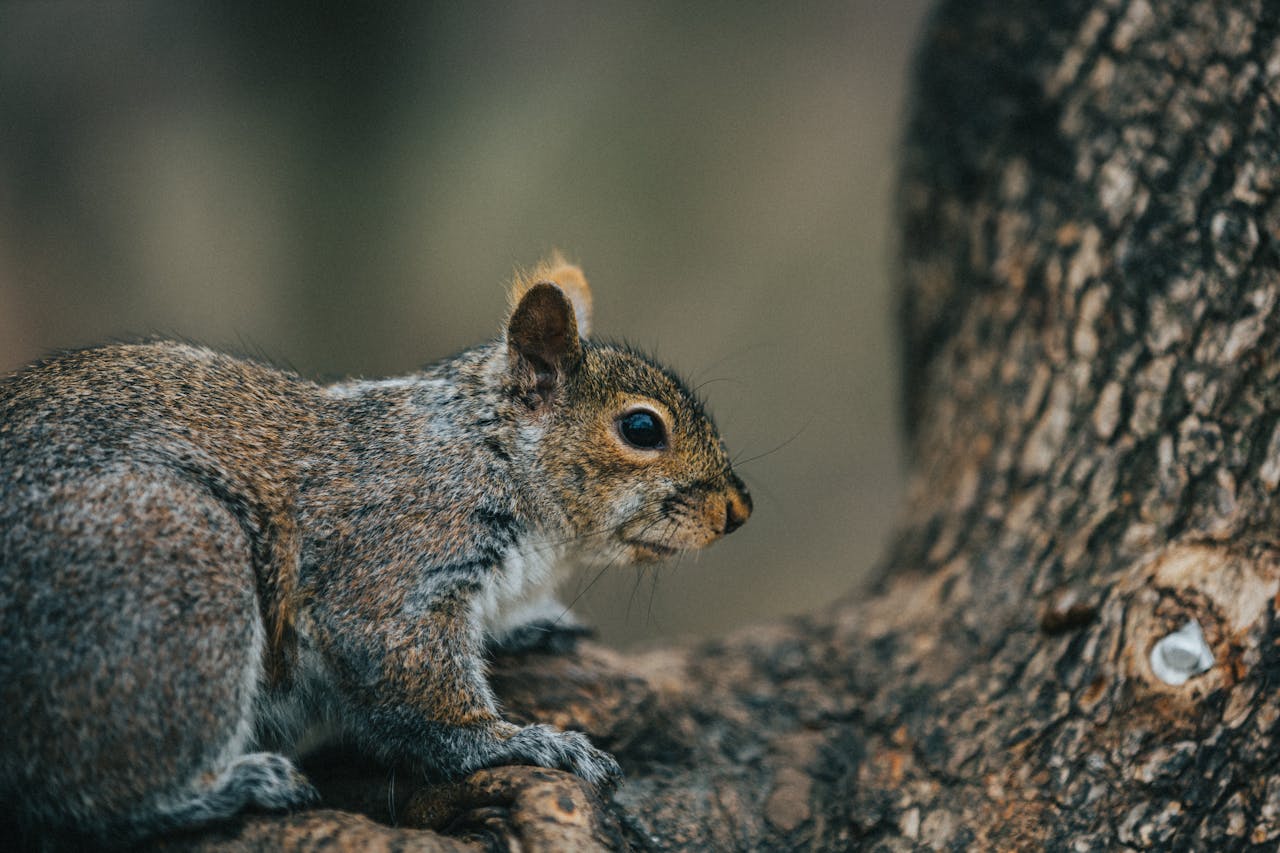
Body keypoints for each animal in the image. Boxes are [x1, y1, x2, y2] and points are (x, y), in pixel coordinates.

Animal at [0, 256, 752, 848]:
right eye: (641, 428)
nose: (738, 511)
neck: (488, 450)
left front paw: (533, 624)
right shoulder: (399, 551)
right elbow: (414, 685)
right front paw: (520, 741)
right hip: (170, 570)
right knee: (96, 798)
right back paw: (225, 787)